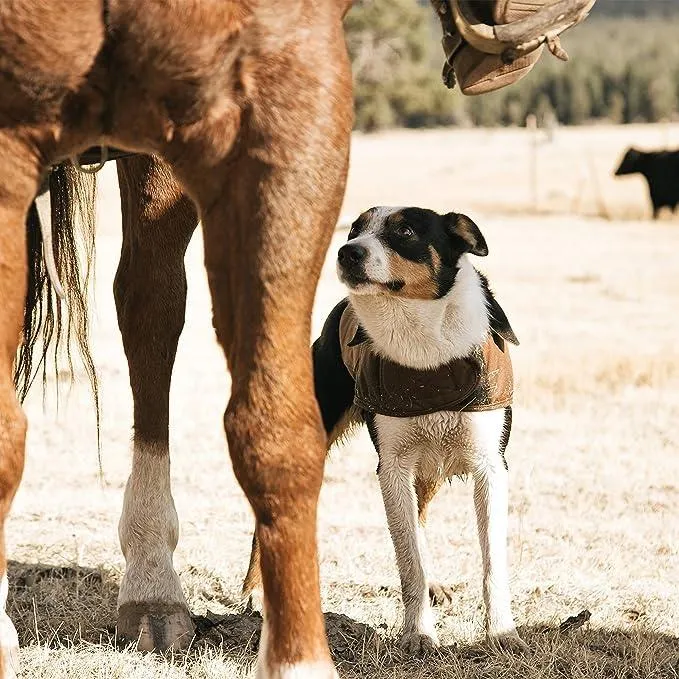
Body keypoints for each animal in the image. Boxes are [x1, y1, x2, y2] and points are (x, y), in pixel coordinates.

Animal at [318, 206, 524, 652]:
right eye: (355, 229)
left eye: (407, 231)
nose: (347, 252)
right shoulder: (392, 466)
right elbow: (409, 559)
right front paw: (418, 634)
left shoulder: (490, 465)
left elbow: (492, 561)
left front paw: (502, 632)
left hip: (429, 468)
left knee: (424, 517)